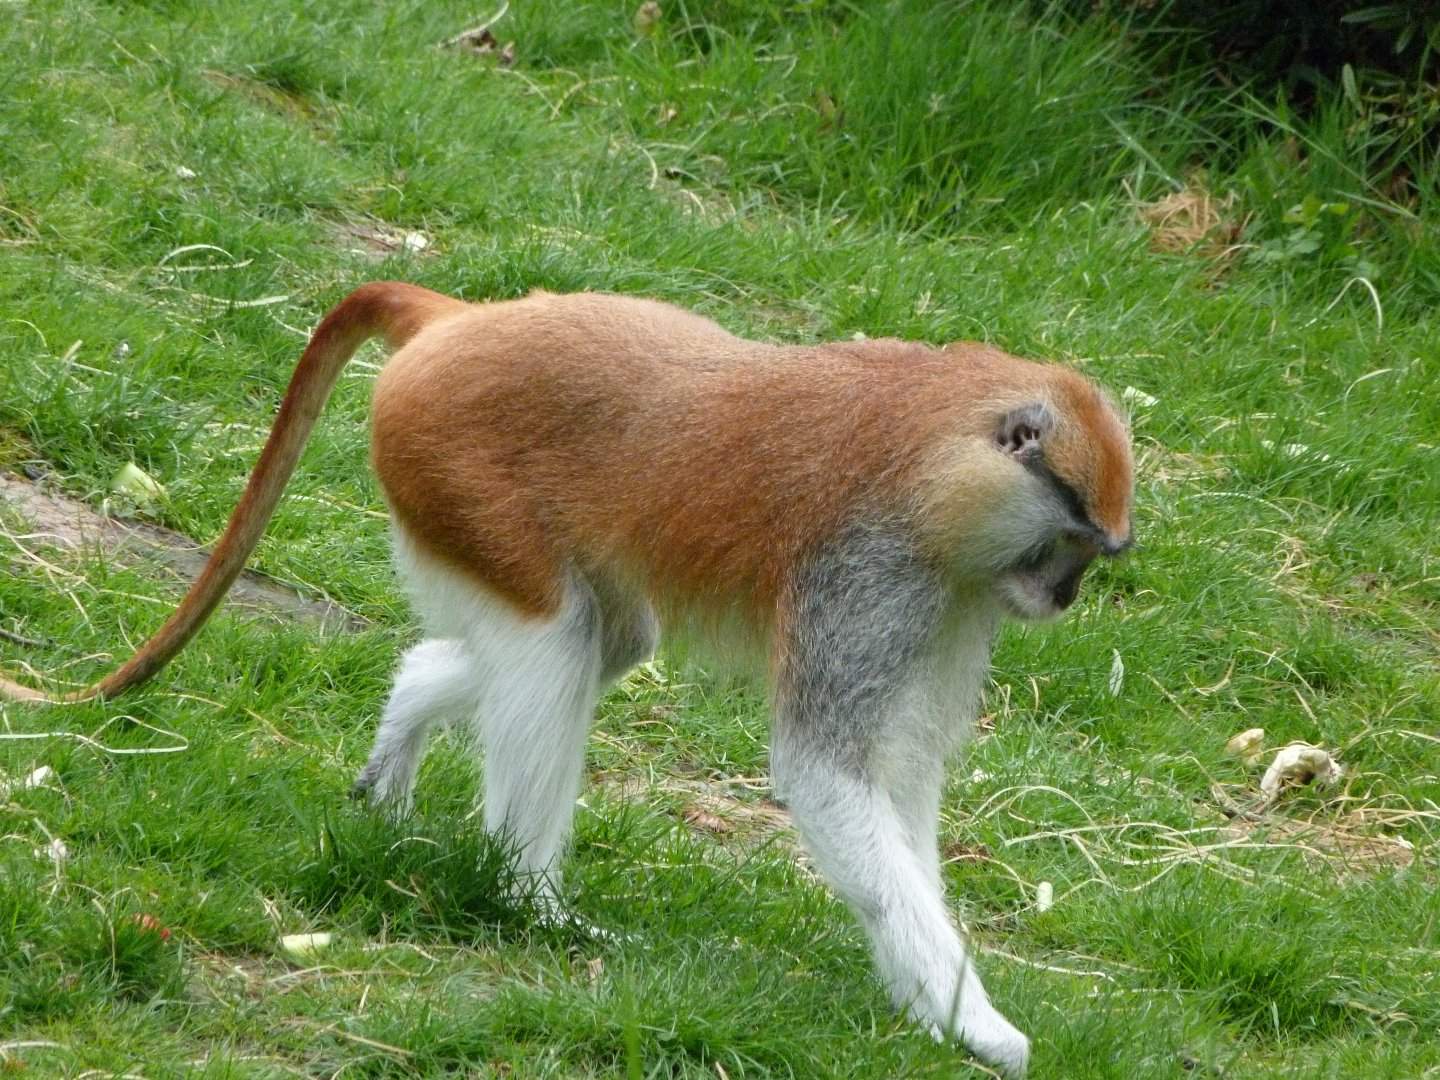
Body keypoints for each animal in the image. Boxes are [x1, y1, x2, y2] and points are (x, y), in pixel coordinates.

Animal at [1, 281, 1133, 1077]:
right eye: (1072, 540)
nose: (1067, 593)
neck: (945, 444)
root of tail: (458, 322)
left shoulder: (950, 598)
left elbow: (899, 784)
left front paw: (931, 1003)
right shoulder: (877, 572)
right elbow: (826, 774)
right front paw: (978, 1024)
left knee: (595, 640)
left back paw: (407, 729)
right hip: (452, 472)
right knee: (557, 643)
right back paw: (531, 904)